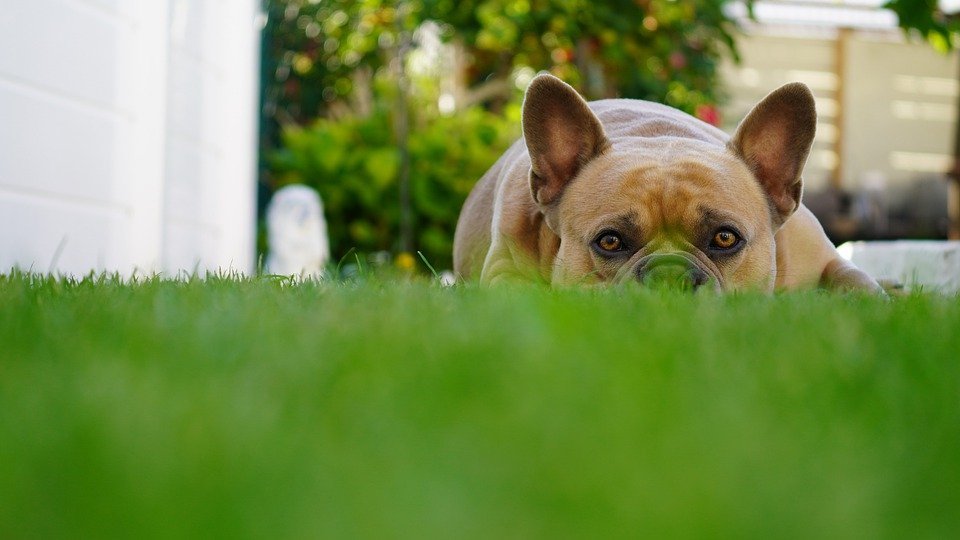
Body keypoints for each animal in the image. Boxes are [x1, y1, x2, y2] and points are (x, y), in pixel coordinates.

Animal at [454, 75, 880, 292]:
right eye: (610, 241)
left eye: (726, 238)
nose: (669, 276)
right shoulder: (505, 274)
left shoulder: (829, 259)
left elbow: (859, 286)